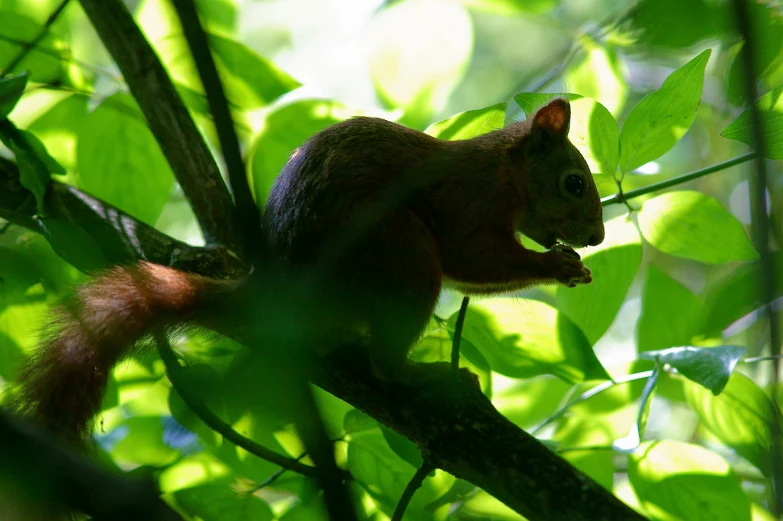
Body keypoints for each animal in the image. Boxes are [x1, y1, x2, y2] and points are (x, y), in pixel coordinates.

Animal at [9, 96, 604, 442]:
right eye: (574, 182)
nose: (597, 237)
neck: (505, 168)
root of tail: (282, 291)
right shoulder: (467, 201)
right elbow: (473, 258)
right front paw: (556, 264)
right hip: (399, 248)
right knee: (387, 362)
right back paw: (426, 374)